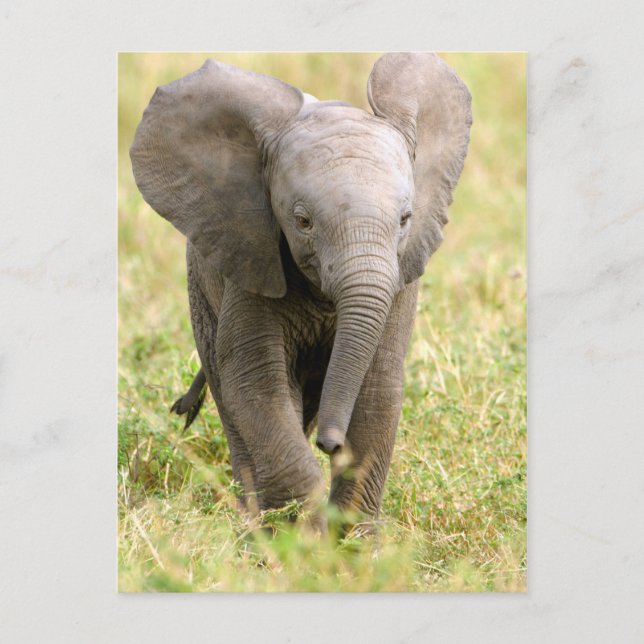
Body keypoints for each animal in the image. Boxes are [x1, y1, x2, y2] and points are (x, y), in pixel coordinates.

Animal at [130, 53, 472, 528]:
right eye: (303, 221)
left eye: (405, 219)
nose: (332, 443)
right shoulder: (251, 259)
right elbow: (256, 383)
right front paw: (302, 534)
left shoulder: (402, 277)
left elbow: (379, 388)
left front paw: (348, 542)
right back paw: (254, 526)